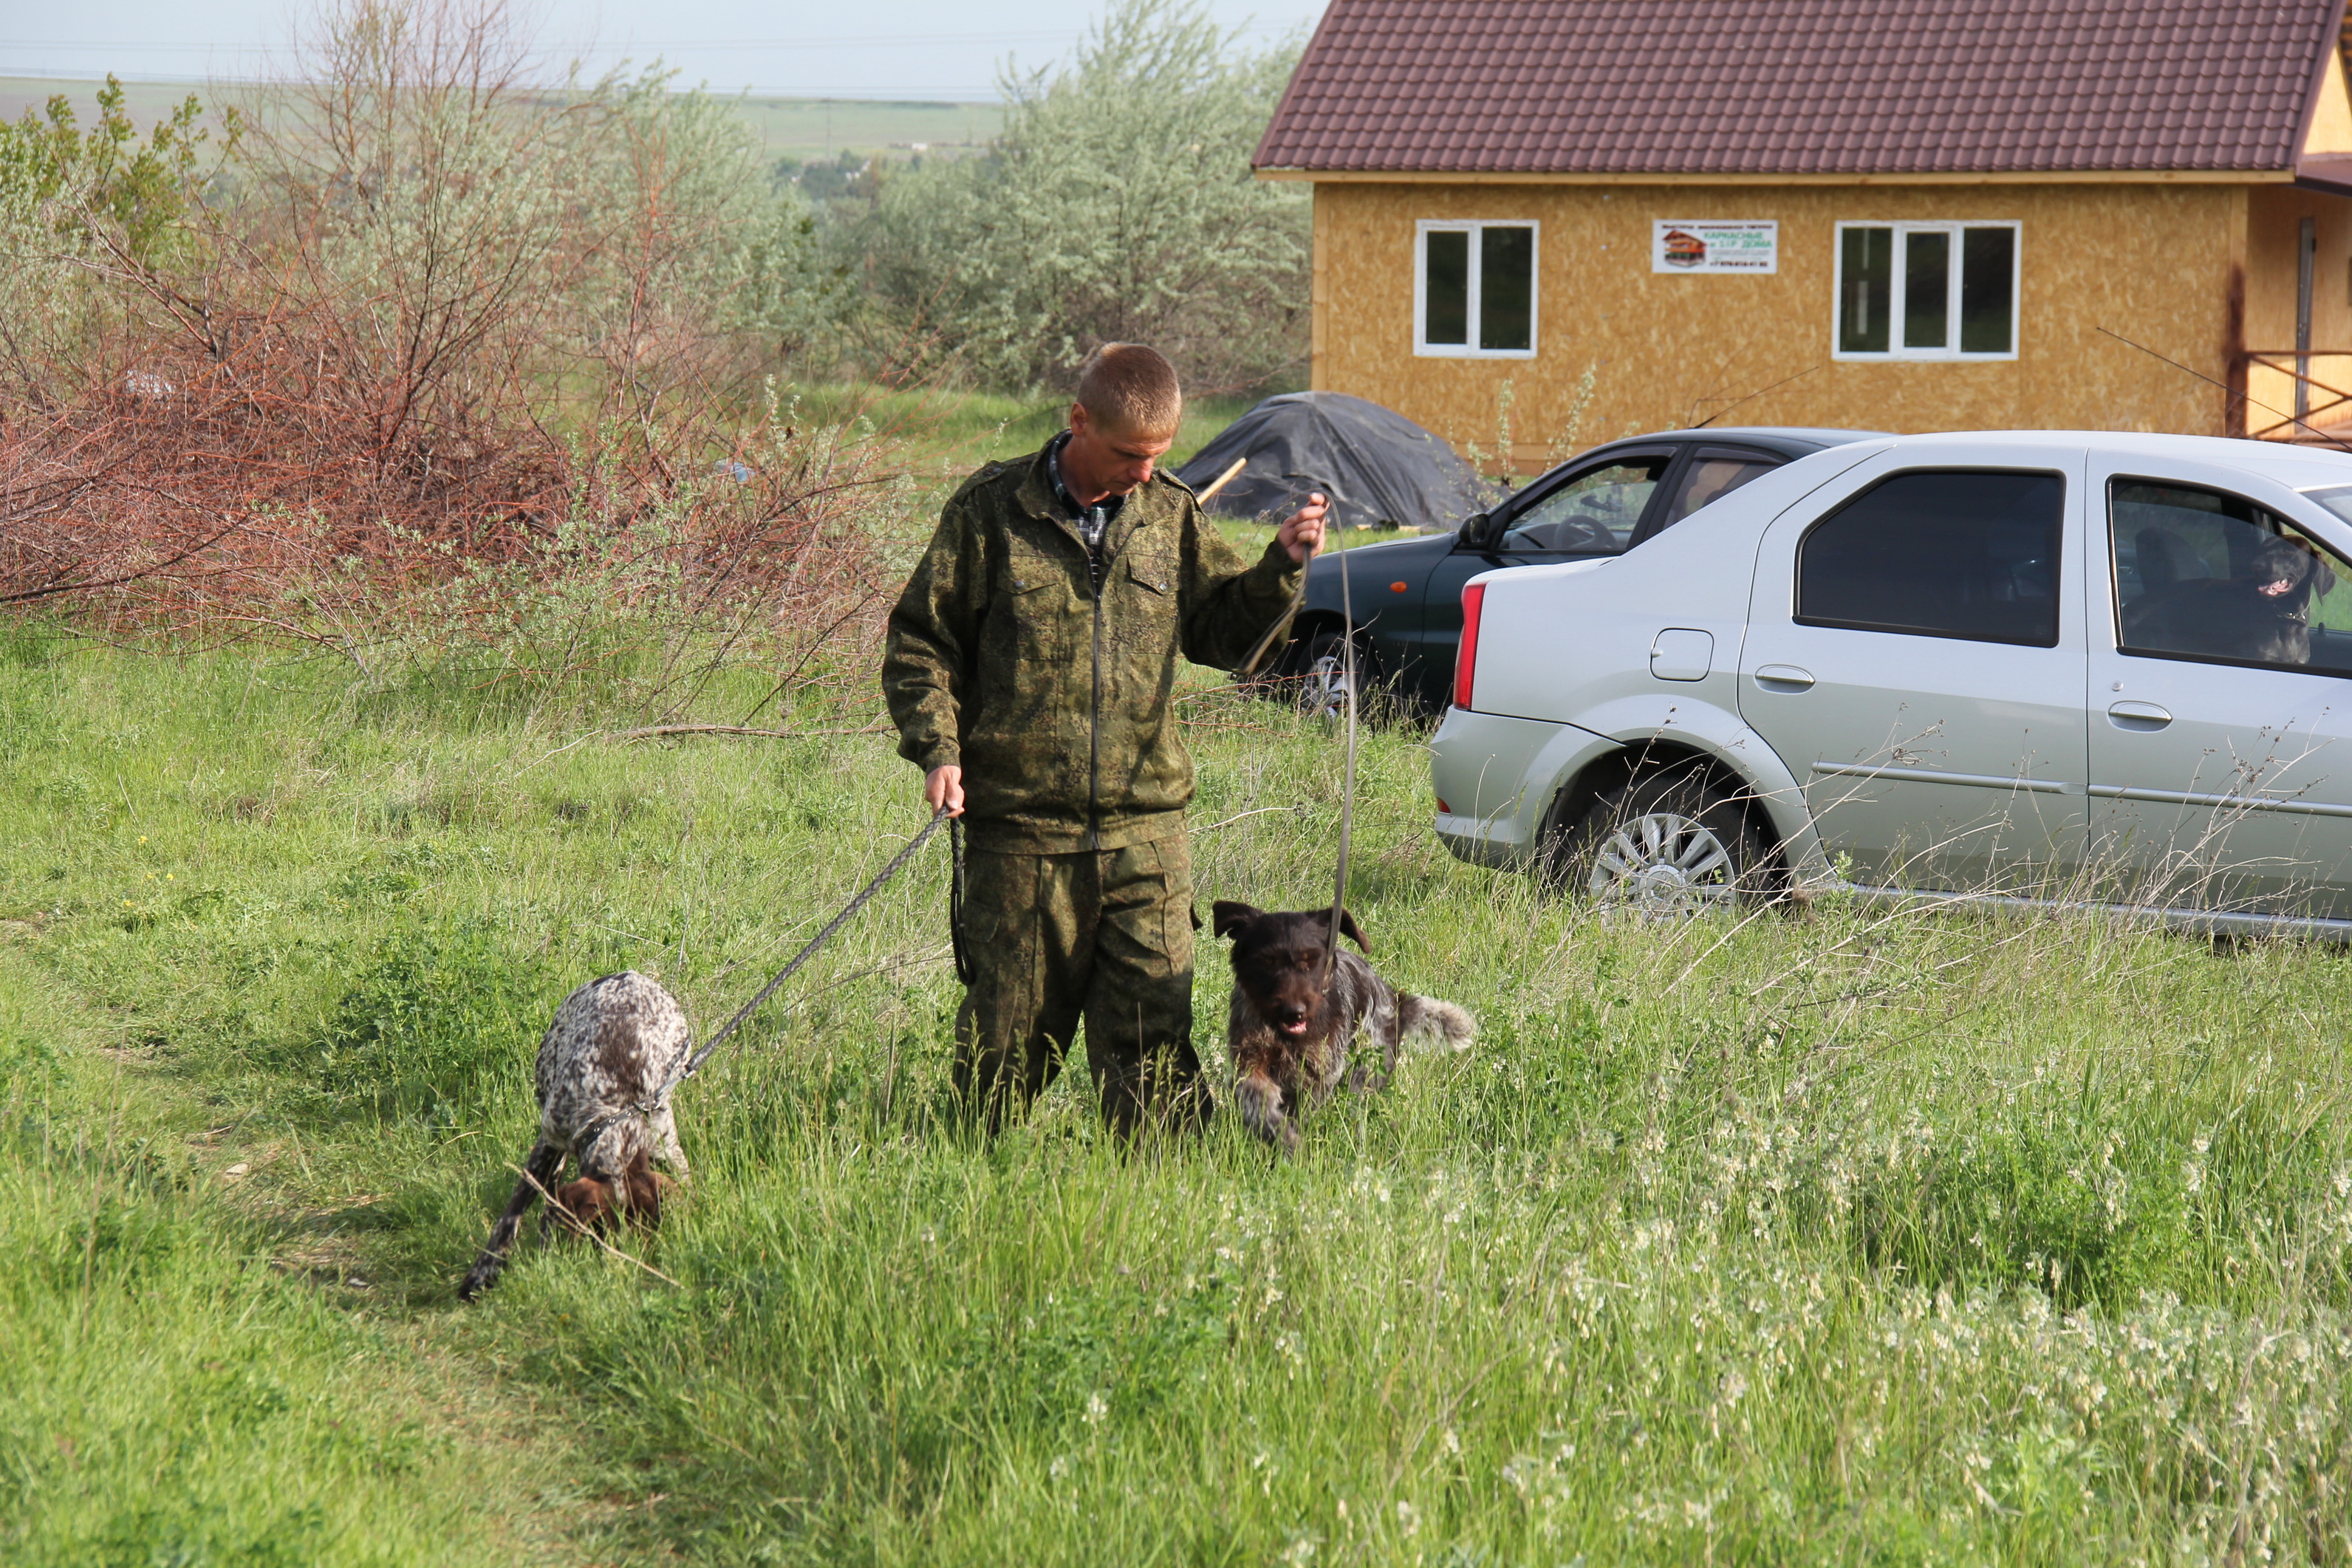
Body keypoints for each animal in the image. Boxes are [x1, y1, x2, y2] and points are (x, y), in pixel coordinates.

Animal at [459, 971, 692, 1300]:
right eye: (607, 1239)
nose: (626, 1274)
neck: (616, 1114)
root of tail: (629, 974)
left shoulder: (666, 1148)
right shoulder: (549, 1141)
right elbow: (512, 1216)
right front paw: (482, 1274)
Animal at [1211, 901, 1473, 1154]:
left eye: (1311, 961)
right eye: (1267, 962)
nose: (1294, 1011)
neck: (1285, 1036)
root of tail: (1395, 1001)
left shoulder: (1321, 1074)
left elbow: (1302, 1109)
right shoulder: (1249, 1063)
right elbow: (1258, 1105)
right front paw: (1283, 1138)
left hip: (1365, 1072)